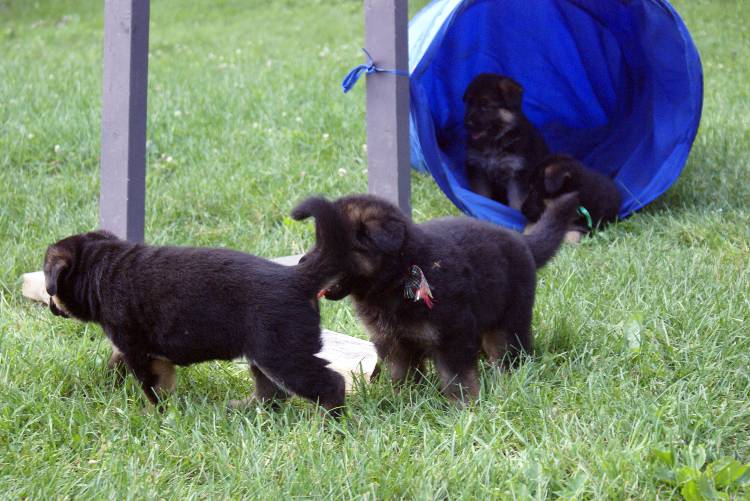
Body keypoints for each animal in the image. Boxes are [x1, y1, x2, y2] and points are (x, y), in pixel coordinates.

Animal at [41, 217, 346, 412]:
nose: (52, 305)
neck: (101, 269)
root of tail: (297, 277)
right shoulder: (131, 349)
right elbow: (116, 364)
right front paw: (106, 385)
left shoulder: (142, 353)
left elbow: (154, 389)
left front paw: (154, 416)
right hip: (263, 354)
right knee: (271, 392)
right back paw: (245, 409)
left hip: (283, 356)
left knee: (330, 384)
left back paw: (329, 423)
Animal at [290, 191, 580, 402]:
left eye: (331, 247)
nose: (302, 264)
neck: (399, 276)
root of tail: (521, 241)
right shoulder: (393, 342)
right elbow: (401, 374)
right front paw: (404, 400)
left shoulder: (452, 334)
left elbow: (456, 376)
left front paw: (464, 406)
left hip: (510, 318)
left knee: (512, 349)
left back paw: (510, 375)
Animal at [464, 72, 552, 209]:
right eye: (469, 103)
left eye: (485, 106)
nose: (467, 124)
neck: (496, 139)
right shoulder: (478, 170)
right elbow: (481, 195)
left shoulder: (517, 174)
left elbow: (516, 202)